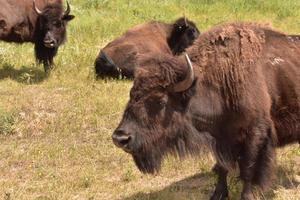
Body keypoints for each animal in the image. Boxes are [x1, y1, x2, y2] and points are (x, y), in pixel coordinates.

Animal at [112, 22, 300, 200]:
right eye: (131, 94)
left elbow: (248, 170)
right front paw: (217, 194)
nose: (120, 138)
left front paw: (247, 196)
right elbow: (222, 167)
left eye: (161, 100)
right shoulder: (220, 137)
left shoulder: (255, 134)